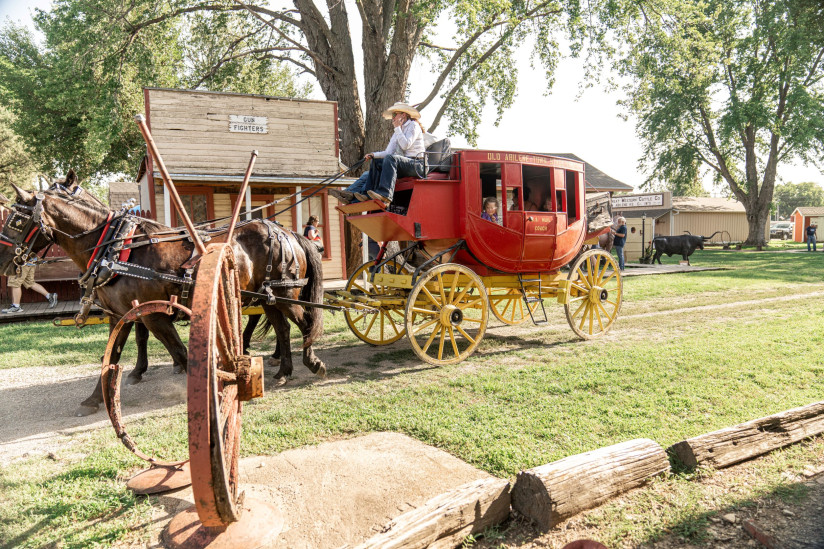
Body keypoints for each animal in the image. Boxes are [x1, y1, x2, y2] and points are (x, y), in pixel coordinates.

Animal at [0, 173, 328, 418]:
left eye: (16, 219)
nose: (4, 261)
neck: (116, 248)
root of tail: (286, 231)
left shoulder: (155, 315)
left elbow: (181, 353)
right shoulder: (120, 315)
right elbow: (111, 357)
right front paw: (95, 399)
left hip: (286, 293)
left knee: (305, 323)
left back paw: (312, 362)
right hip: (267, 297)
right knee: (283, 328)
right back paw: (284, 370)